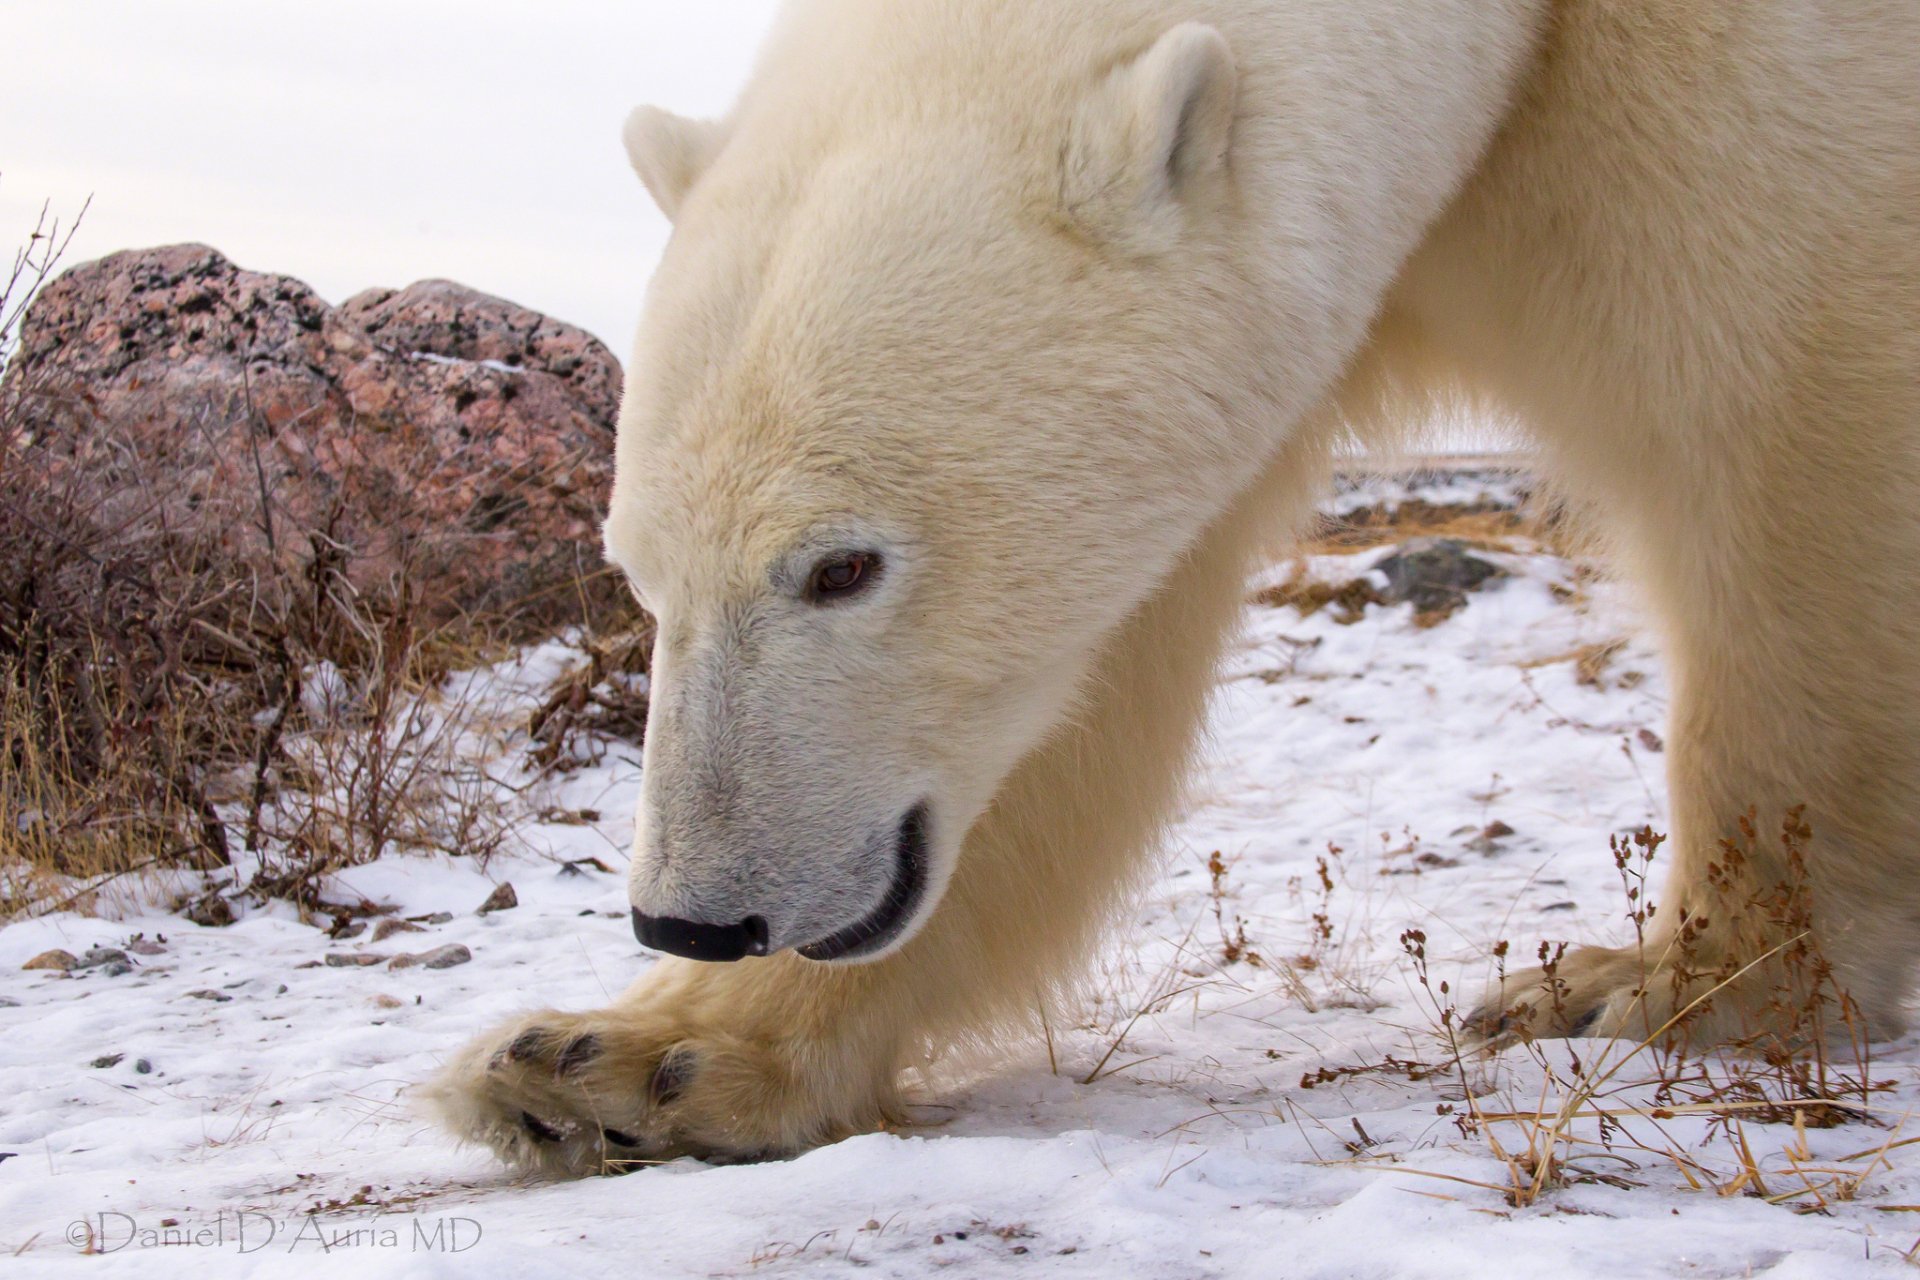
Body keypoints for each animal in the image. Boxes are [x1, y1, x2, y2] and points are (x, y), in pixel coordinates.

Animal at [426, 0, 1920, 1175]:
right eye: (636, 575)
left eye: (843, 566)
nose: (696, 914)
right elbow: (1075, 694)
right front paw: (617, 1063)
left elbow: (1791, 447)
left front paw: (1672, 985)